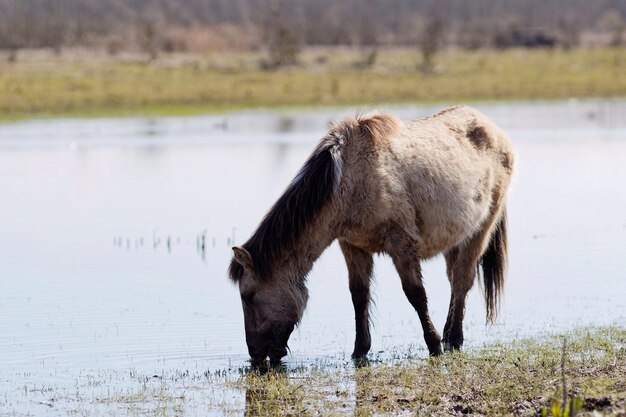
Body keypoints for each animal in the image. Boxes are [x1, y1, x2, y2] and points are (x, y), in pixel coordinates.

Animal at [228, 105, 512, 362]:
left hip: (481, 230)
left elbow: (416, 294)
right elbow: (359, 295)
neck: (348, 181)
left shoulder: (402, 244)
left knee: (463, 279)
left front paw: (433, 345)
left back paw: (453, 338)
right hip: (455, 240)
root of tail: (496, 131)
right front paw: (359, 350)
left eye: (247, 296)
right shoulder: (352, 246)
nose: (255, 353)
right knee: (455, 280)